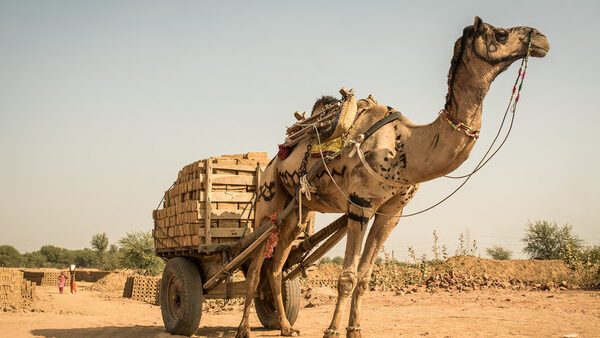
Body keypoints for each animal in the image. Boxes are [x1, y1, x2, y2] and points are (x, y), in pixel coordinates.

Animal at [233, 16, 548, 338]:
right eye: (501, 34)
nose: (541, 38)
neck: (405, 144)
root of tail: (272, 160)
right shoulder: (360, 205)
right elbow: (347, 276)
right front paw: (332, 331)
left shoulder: (391, 212)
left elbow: (364, 277)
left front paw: (355, 330)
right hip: (269, 201)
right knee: (255, 267)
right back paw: (243, 329)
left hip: (298, 212)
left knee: (276, 267)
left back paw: (286, 327)